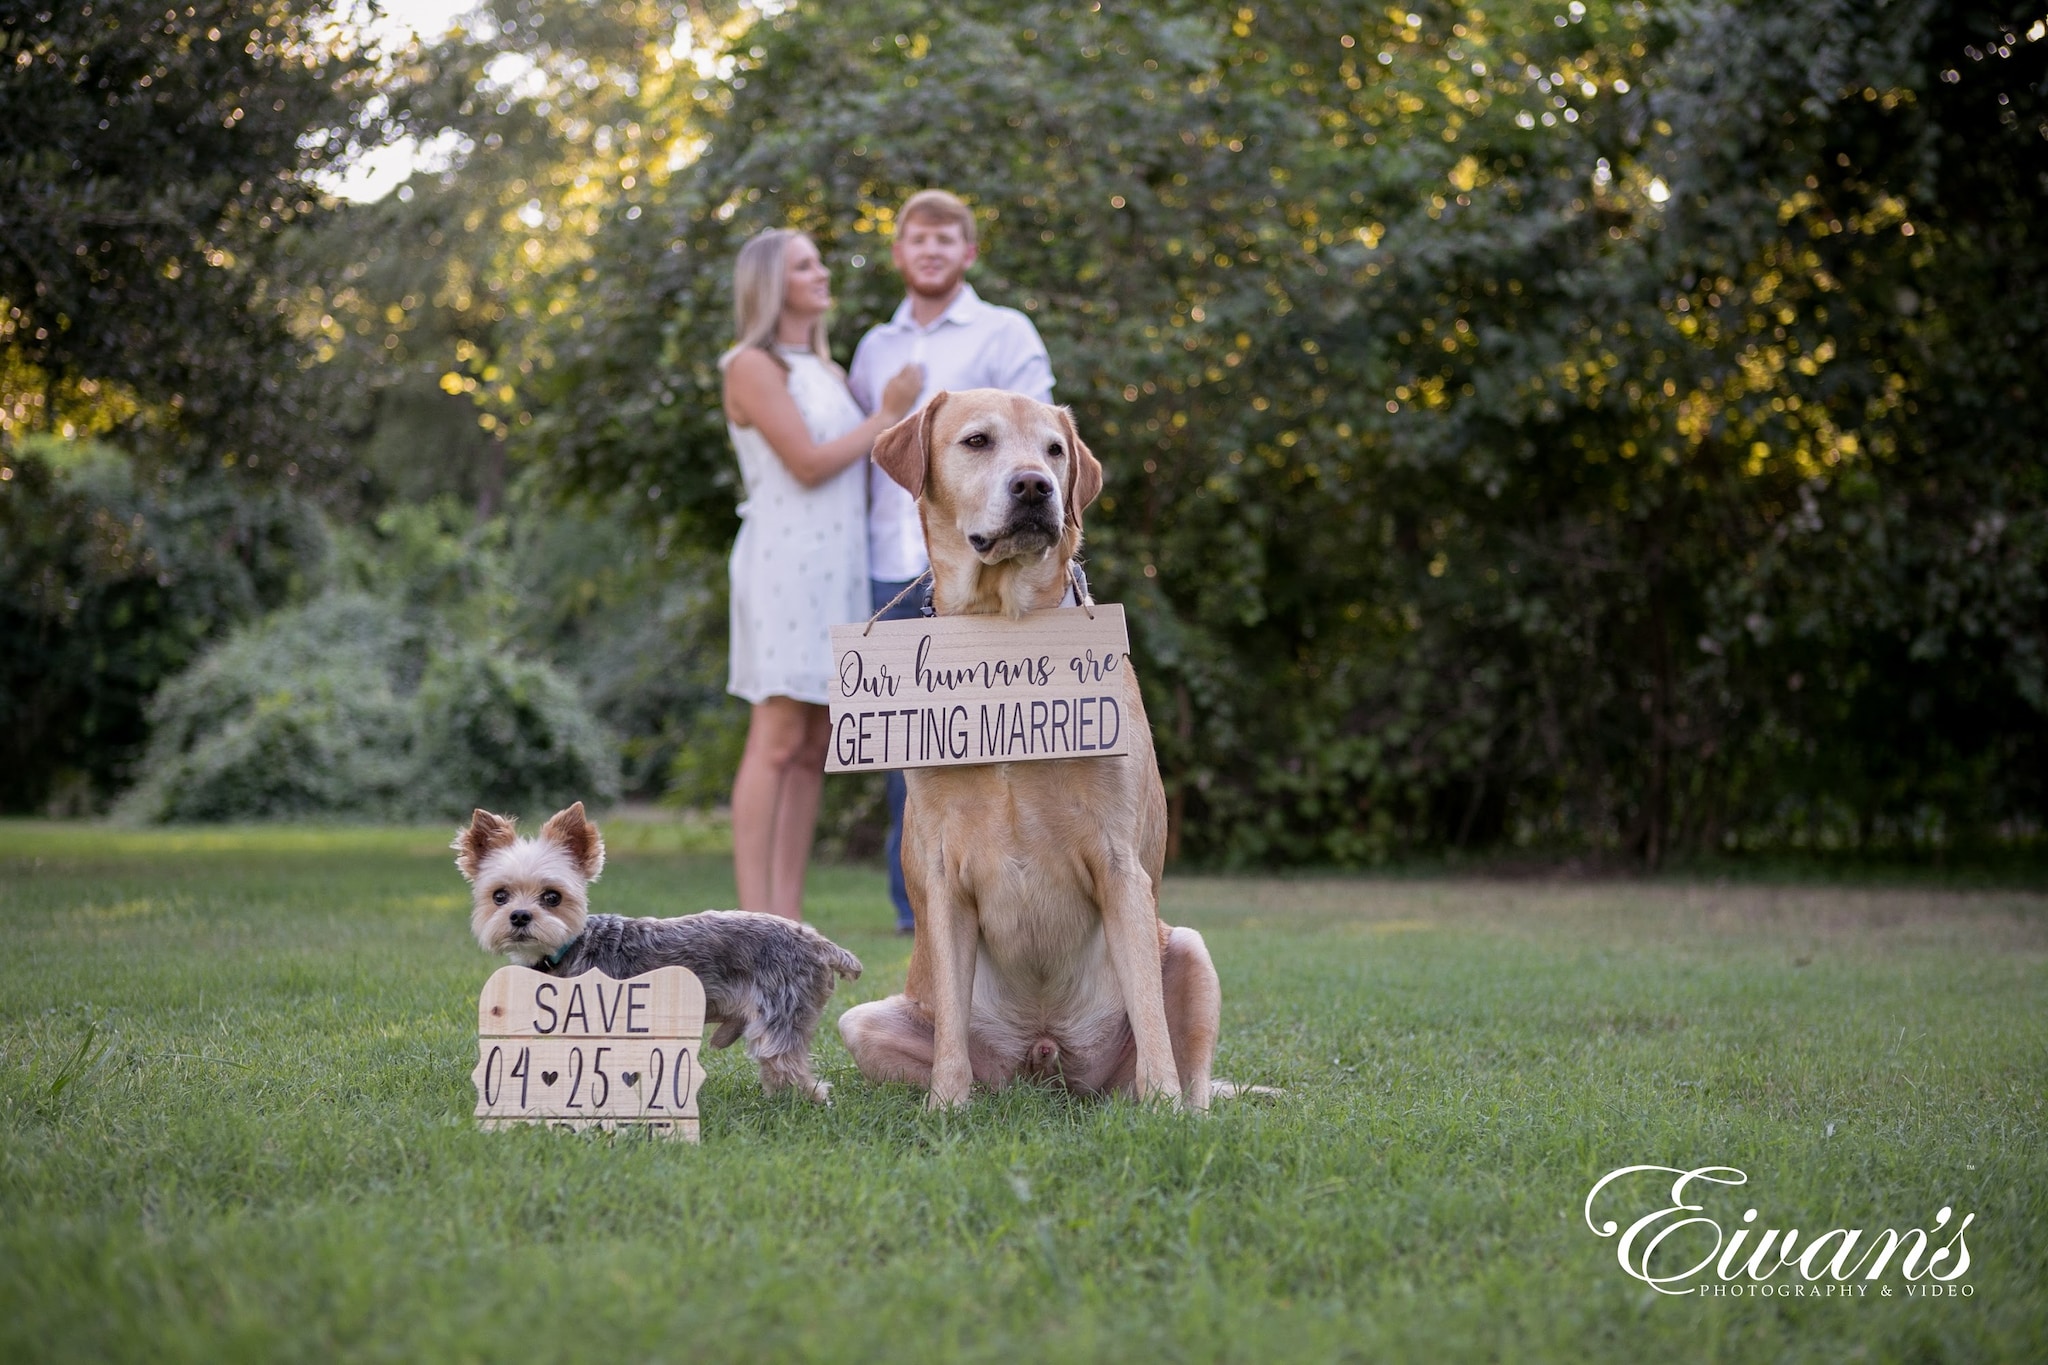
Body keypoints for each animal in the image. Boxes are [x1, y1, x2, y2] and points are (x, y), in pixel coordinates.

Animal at [452, 802, 860, 1096]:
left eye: (552, 897)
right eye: (499, 896)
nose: (520, 916)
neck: (568, 947)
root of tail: (818, 943)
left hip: (779, 1011)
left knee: (787, 1064)